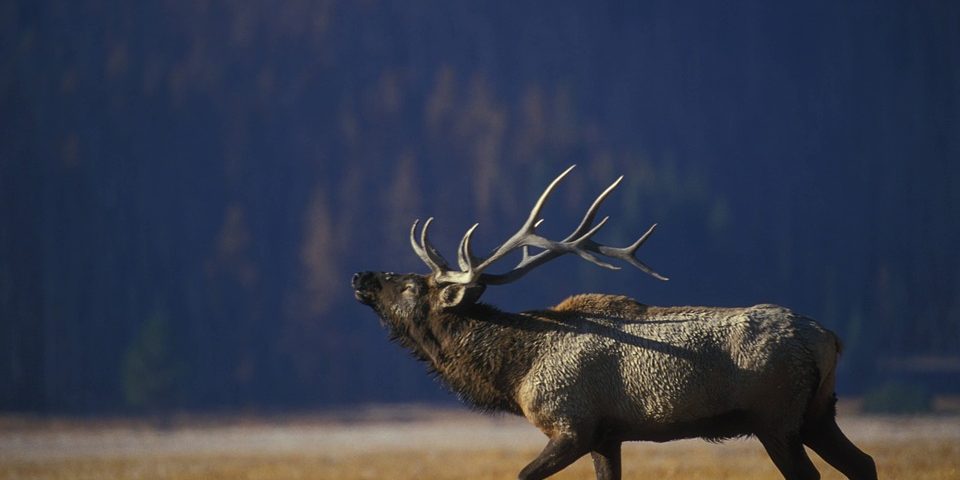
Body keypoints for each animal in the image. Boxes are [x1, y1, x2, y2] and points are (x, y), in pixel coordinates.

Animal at [352, 165, 877, 480]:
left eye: (411, 284)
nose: (361, 275)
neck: (514, 372)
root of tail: (830, 339)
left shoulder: (572, 425)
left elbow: (522, 474)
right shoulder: (608, 435)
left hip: (776, 417)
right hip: (817, 414)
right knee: (864, 463)